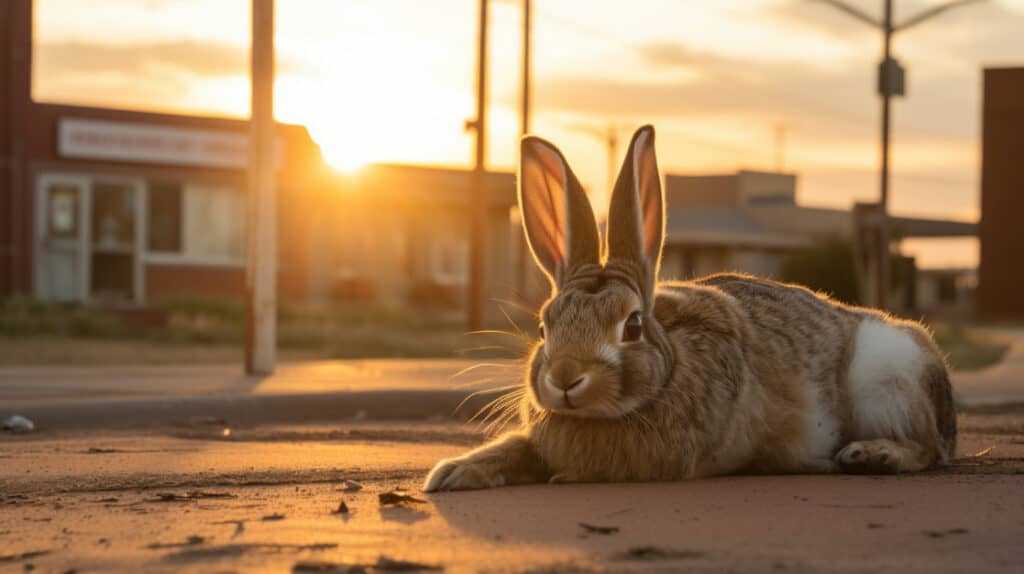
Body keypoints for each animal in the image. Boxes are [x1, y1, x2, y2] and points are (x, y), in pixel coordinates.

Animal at [423, 125, 957, 492]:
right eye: (543, 326)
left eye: (632, 326)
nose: (566, 378)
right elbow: (515, 448)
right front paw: (452, 474)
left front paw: (563, 476)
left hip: (888, 376)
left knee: (929, 449)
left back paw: (871, 454)